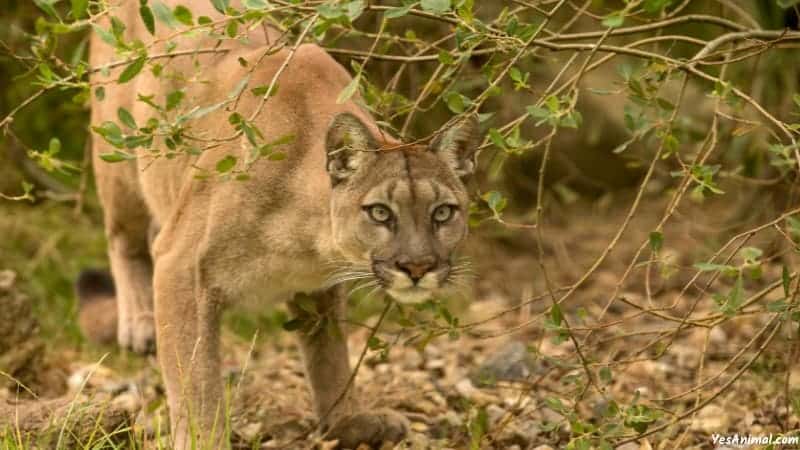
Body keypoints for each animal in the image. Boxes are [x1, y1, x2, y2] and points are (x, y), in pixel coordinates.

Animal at [85, 1, 478, 448]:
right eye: (380, 212)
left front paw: (348, 421)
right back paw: (139, 324)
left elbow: (329, 357)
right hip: (119, 160)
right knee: (124, 237)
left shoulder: (317, 286)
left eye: (443, 212)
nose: (417, 267)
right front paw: (204, 438)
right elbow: (196, 379)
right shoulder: (181, 266)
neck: (308, 239)